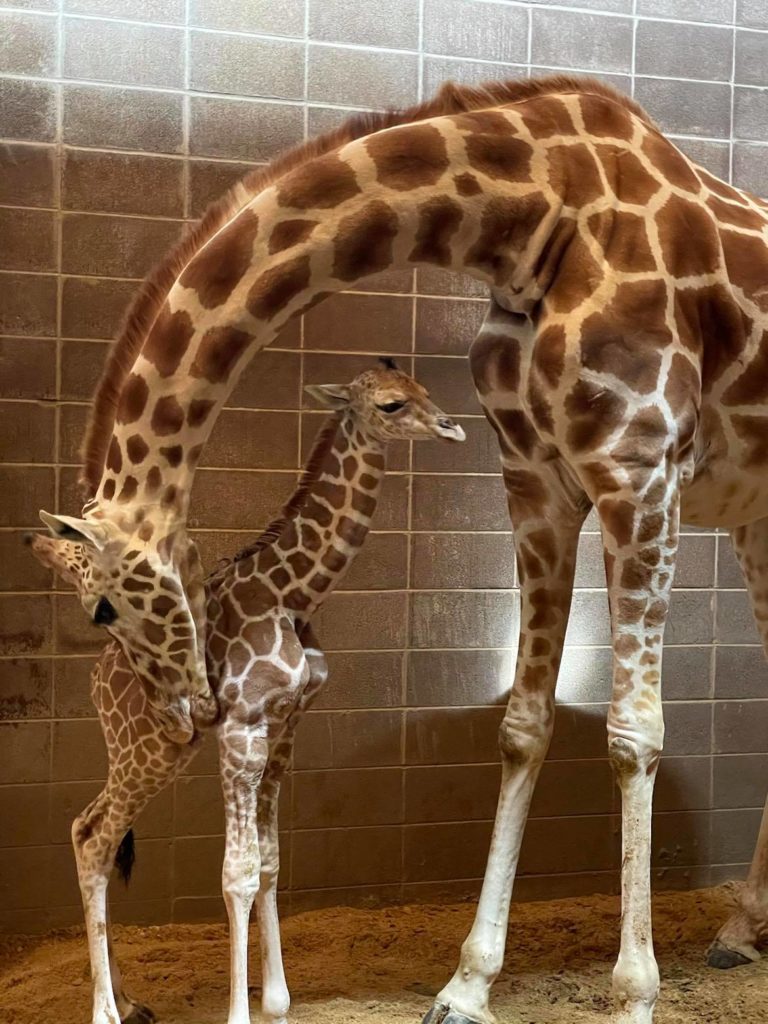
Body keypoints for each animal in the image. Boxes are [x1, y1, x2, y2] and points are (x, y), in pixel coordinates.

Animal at [30, 361, 464, 1024]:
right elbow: (237, 871)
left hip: (155, 749)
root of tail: (98, 680)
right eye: (391, 404)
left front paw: (278, 998)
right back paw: (104, 1010)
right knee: (94, 838)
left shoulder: (285, 728)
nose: (452, 427)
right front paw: (241, 1010)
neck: (295, 594)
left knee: (90, 828)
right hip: (150, 748)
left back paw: (129, 1002)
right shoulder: (241, 728)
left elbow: (270, 861)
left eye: (425, 389)